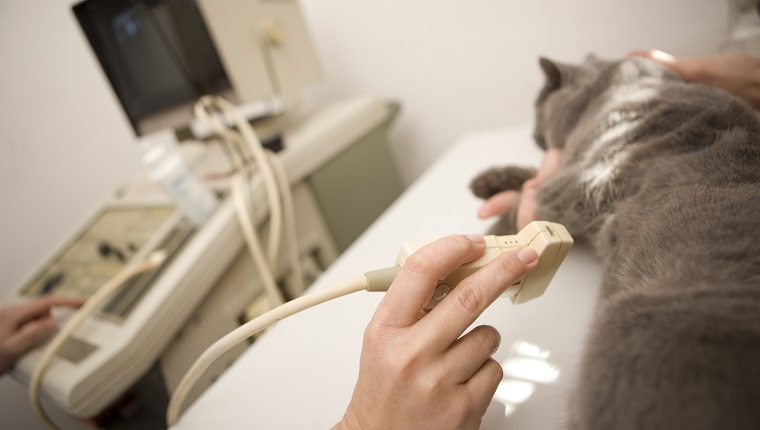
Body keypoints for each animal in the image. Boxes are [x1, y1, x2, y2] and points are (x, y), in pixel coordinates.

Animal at [470, 55, 760, 428]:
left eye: (539, 103)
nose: (534, 135)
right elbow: (531, 177)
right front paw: (488, 181)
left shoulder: (574, 185)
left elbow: (525, 199)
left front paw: (484, 235)